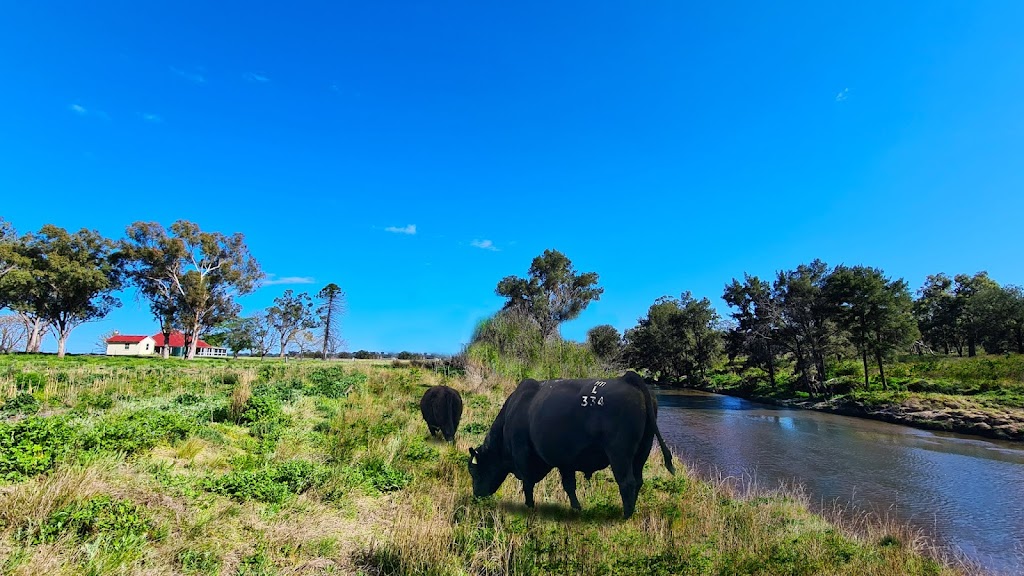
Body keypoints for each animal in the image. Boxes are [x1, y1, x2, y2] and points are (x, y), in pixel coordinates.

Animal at [468, 368, 675, 518]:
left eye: (475, 472)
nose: (476, 495)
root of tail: (627, 378)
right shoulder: (565, 462)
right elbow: (569, 485)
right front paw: (576, 508)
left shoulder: (523, 457)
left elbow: (527, 484)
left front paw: (529, 507)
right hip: (642, 452)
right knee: (638, 480)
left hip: (620, 455)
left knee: (627, 483)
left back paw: (625, 516)